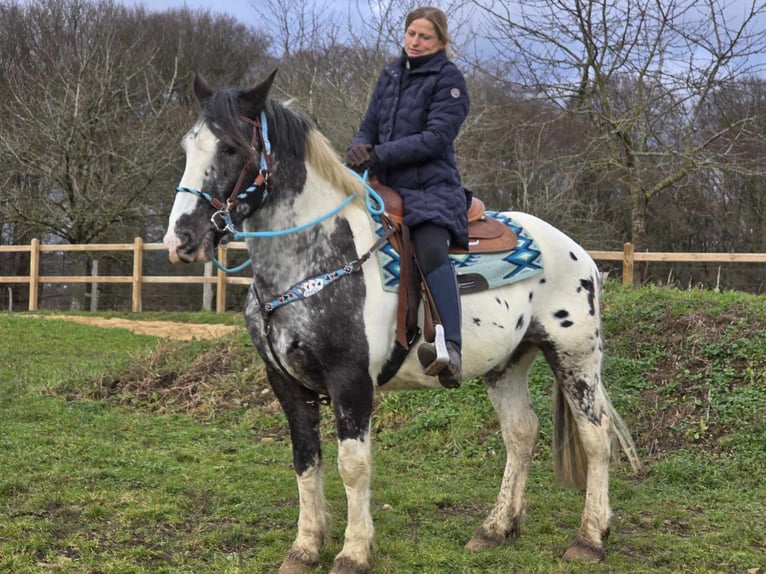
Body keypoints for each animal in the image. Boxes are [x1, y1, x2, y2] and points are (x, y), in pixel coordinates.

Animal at [162, 73, 640, 574]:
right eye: (189, 145)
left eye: (231, 148)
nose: (180, 239)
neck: (319, 260)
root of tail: (577, 251)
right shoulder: (287, 384)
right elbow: (305, 462)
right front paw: (305, 547)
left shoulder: (351, 382)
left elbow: (353, 466)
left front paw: (353, 551)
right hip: (507, 364)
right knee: (521, 434)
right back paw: (495, 528)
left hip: (575, 358)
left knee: (596, 437)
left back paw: (589, 538)